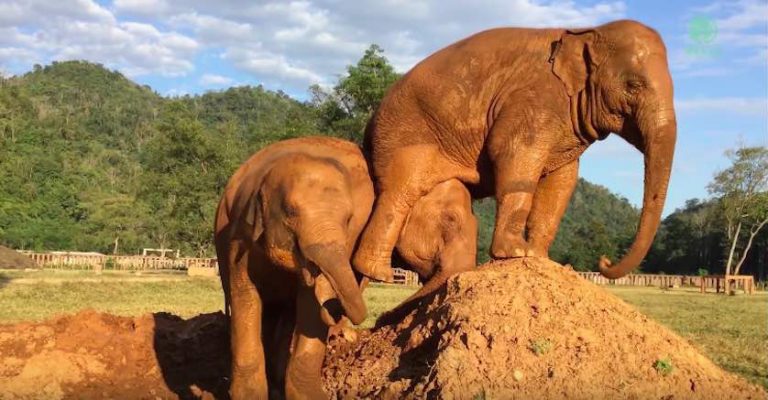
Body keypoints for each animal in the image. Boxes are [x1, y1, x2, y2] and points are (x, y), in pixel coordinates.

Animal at [214, 136, 477, 399]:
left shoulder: (352, 234)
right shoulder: (241, 236)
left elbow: (310, 302)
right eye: (451, 220)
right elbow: (245, 294)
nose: (382, 317)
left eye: (348, 218)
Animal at [353, 19, 676, 281]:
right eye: (633, 85)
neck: (586, 30)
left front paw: (539, 257)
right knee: (401, 191)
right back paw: (377, 272)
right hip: (404, 137)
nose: (604, 261)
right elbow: (515, 152)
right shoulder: (534, 99)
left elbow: (563, 178)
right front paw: (516, 252)